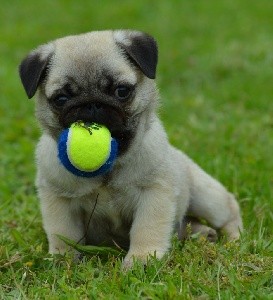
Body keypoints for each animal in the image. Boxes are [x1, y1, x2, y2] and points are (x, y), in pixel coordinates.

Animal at [19, 29, 242, 268]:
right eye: (61, 99)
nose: (91, 104)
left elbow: (146, 229)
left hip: (206, 197)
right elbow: (63, 233)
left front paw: (142, 259)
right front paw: (63, 260)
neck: (110, 165)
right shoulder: (59, 198)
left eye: (122, 91)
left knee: (228, 210)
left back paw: (233, 240)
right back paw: (201, 234)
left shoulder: (154, 193)